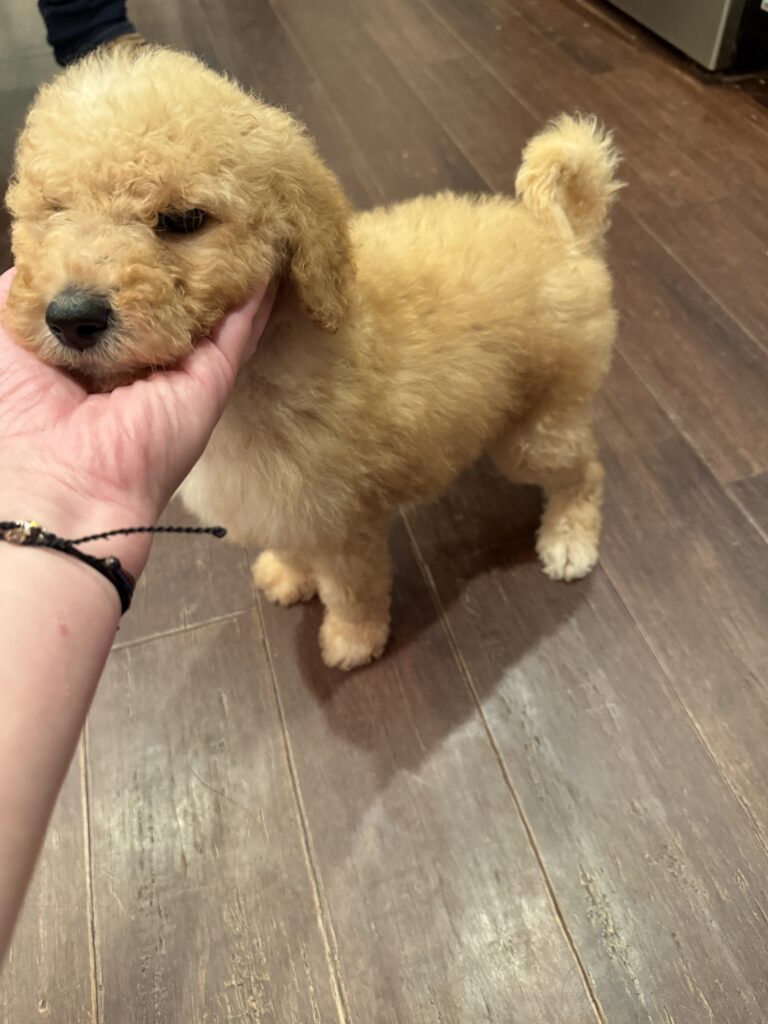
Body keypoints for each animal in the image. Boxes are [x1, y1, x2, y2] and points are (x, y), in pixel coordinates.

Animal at [3, 46, 621, 669]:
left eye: (183, 220)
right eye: (55, 208)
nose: (72, 317)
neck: (258, 374)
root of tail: (565, 233)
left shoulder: (344, 523)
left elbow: (353, 587)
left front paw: (354, 638)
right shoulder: (288, 504)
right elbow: (291, 544)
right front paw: (288, 574)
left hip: (535, 432)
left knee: (585, 471)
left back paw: (569, 539)